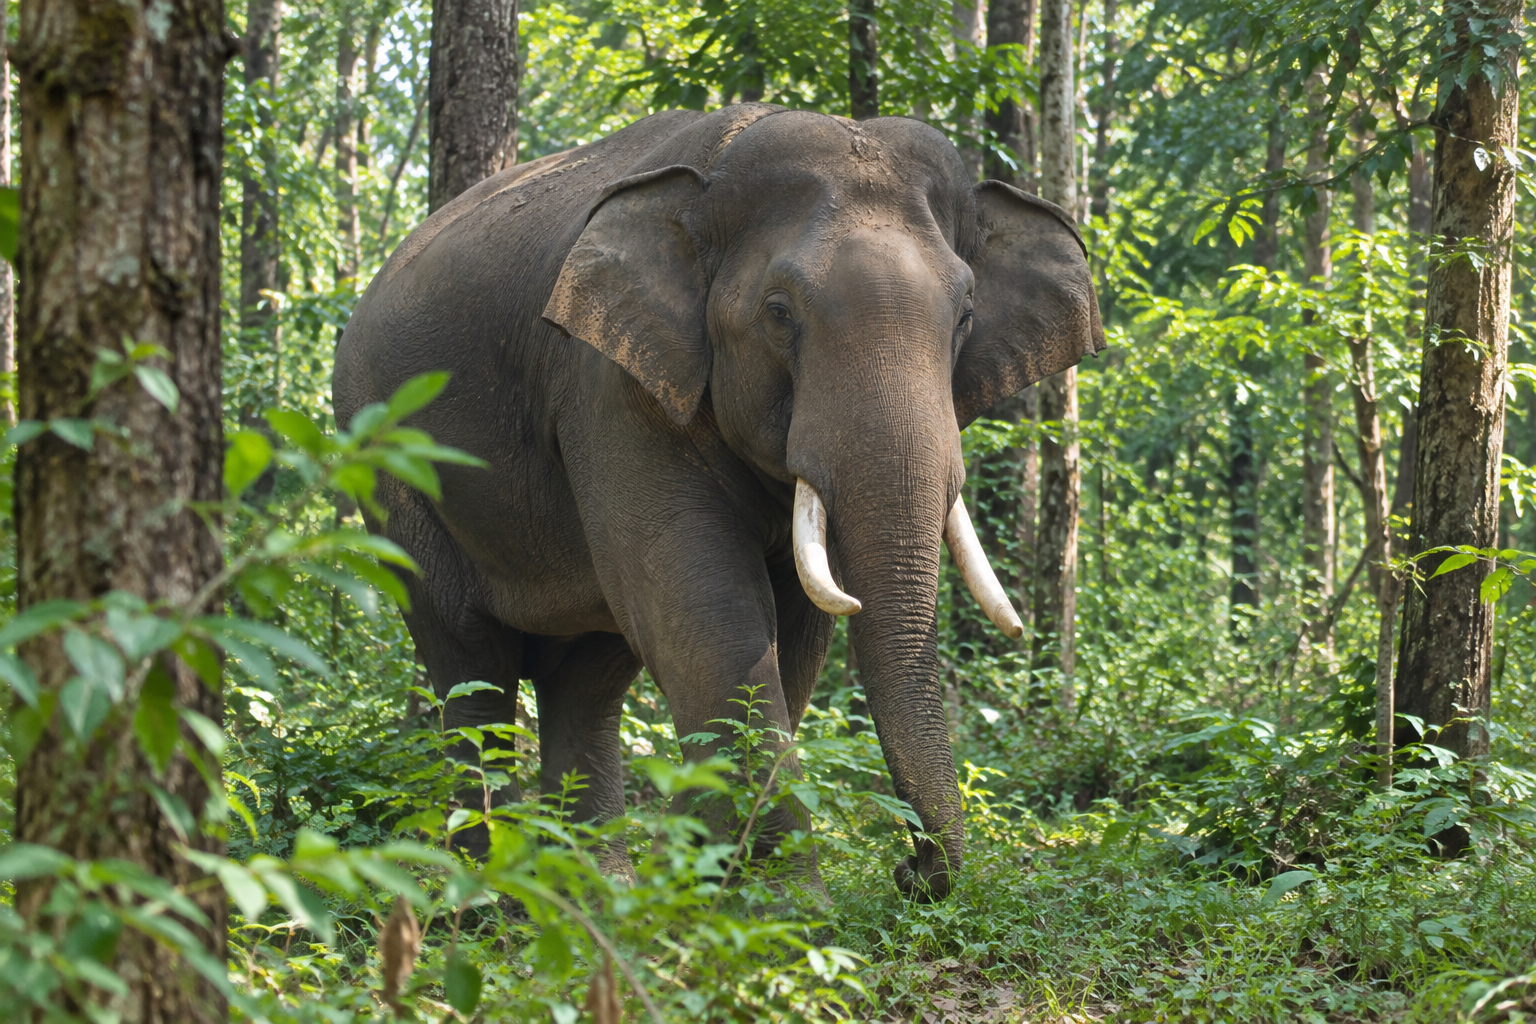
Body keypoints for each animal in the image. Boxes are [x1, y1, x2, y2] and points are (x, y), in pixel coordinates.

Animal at [333, 103, 1103, 901]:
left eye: (966, 314)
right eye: (778, 312)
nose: (909, 871)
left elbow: (794, 629)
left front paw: (715, 882)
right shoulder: (610, 385)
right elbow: (710, 613)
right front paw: (792, 905)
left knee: (588, 676)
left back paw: (599, 891)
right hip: (388, 460)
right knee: (469, 655)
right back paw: (493, 901)